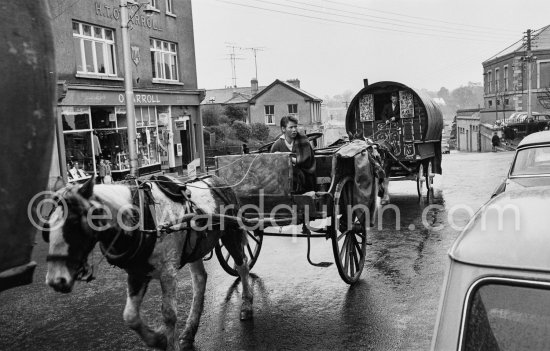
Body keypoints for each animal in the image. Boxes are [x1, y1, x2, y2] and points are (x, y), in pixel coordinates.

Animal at [43, 176, 254, 351]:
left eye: (74, 223)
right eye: (46, 229)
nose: (55, 280)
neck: (141, 218)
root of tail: (219, 180)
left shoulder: (168, 271)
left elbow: (169, 314)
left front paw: (168, 343)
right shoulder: (137, 272)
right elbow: (130, 316)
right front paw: (158, 340)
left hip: (231, 234)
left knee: (242, 266)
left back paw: (246, 305)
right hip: (196, 248)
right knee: (200, 279)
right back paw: (189, 331)